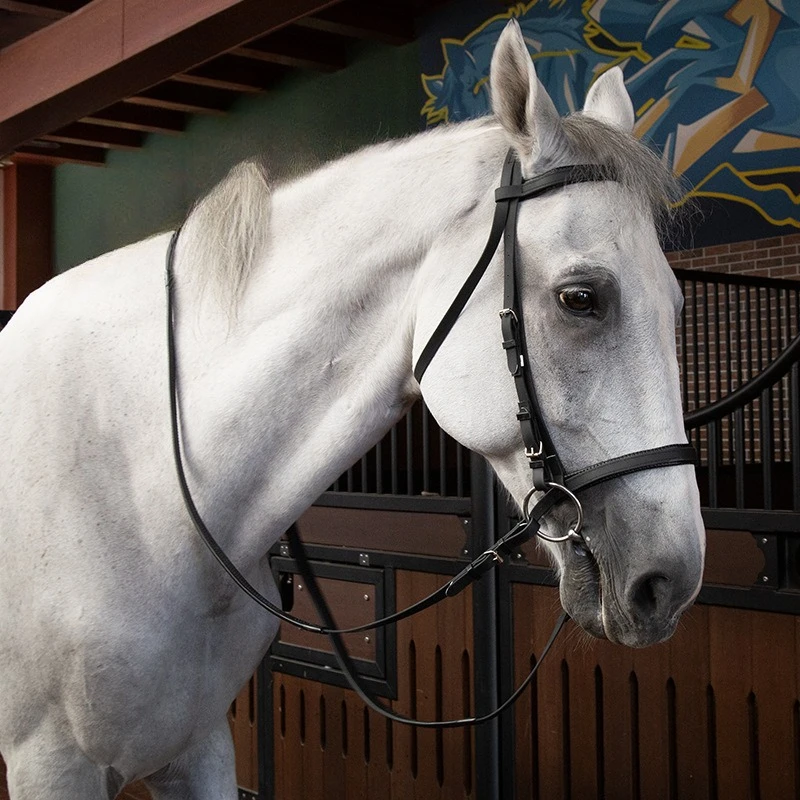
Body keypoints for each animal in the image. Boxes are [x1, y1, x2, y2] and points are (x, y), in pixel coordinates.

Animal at [0, 20, 704, 799]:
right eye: (581, 298)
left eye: (677, 306)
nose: (670, 582)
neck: (141, 486)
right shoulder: (52, 762)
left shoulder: (196, 746)